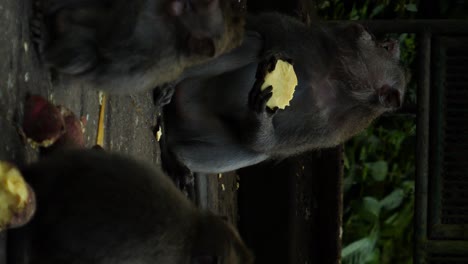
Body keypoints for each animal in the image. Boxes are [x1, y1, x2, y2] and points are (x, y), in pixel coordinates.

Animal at [161, 12, 406, 177]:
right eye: (385, 46)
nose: (365, 30)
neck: (337, 80)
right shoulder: (310, 39)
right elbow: (266, 27)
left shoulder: (332, 128)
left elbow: (266, 145)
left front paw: (260, 118)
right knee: (254, 43)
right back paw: (173, 80)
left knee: (253, 151)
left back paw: (175, 157)